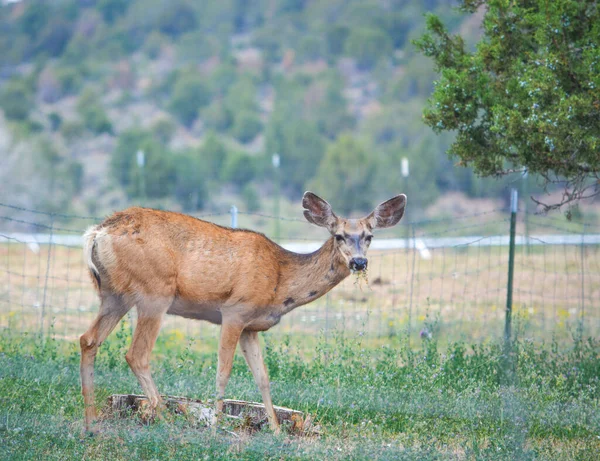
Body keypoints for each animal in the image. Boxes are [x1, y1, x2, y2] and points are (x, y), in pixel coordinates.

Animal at [79, 190, 406, 432]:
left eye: (369, 236)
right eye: (339, 235)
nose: (359, 263)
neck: (280, 280)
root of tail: (98, 232)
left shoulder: (251, 326)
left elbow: (263, 377)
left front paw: (276, 430)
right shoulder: (235, 311)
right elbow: (223, 371)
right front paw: (216, 426)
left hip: (114, 295)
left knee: (88, 339)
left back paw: (91, 422)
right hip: (154, 292)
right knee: (137, 353)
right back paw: (165, 420)